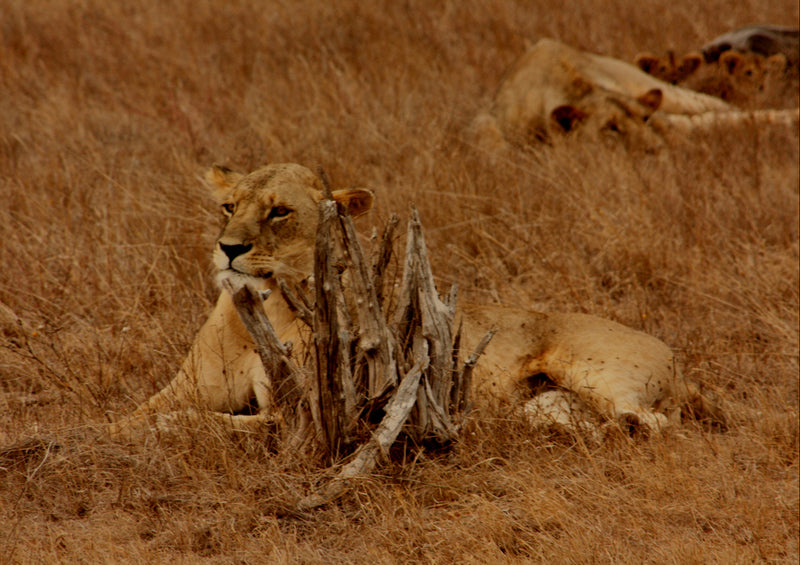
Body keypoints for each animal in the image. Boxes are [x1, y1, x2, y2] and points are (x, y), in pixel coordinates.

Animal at [109, 163, 728, 440]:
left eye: (279, 211)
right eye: (228, 206)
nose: (229, 249)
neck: (265, 307)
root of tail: (678, 360)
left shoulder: (304, 414)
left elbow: (205, 423)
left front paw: (162, 432)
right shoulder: (184, 386)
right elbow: (131, 415)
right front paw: (101, 433)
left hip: (594, 369)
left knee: (654, 421)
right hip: (549, 402)